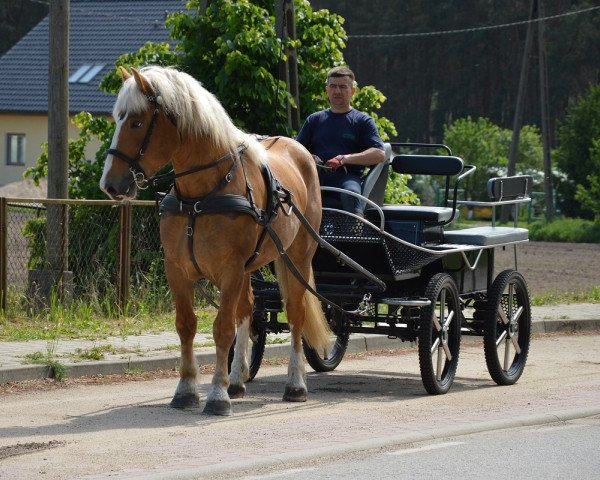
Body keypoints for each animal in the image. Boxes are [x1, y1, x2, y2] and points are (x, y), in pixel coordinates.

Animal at [100, 65, 330, 414]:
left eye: (137, 122)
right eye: (118, 118)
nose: (110, 184)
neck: (202, 195)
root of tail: (300, 151)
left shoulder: (230, 270)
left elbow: (222, 329)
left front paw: (217, 395)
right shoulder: (178, 269)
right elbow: (187, 325)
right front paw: (186, 390)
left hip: (298, 257)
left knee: (295, 314)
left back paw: (295, 384)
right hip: (251, 267)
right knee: (248, 310)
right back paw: (237, 380)